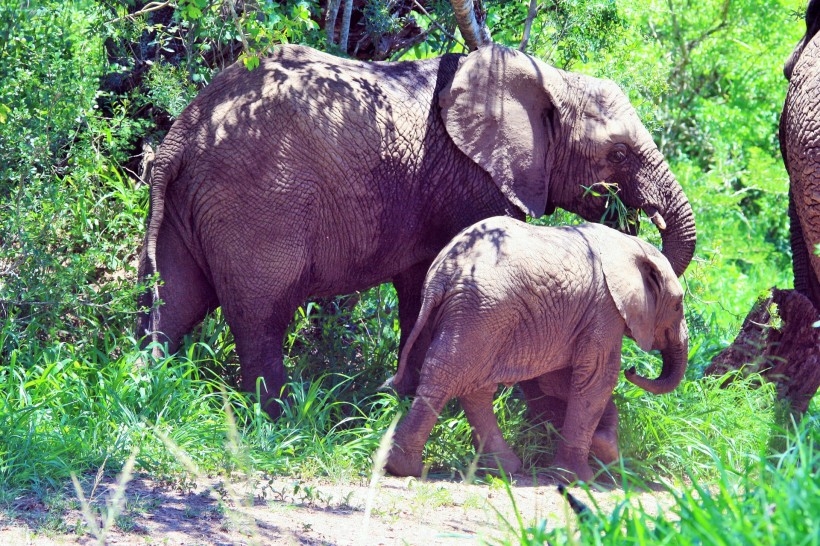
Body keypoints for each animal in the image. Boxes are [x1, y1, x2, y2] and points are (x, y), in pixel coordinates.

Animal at [138, 42, 696, 414]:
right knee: (262, 312)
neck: (551, 79)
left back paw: (145, 385)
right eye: (617, 153)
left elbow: (419, 284)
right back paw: (282, 414)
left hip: (191, 205)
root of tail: (181, 136)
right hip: (257, 203)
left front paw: (399, 398)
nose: (636, 216)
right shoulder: (473, 179)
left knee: (174, 299)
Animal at [384, 217, 684, 480]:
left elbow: (559, 381)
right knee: (449, 373)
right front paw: (579, 477)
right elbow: (597, 379)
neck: (631, 246)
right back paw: (406, 468)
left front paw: (605, 449)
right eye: (678, 305)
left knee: (471, 383)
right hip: (482, 310)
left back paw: (500, 468)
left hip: (472, 313)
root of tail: (441, 276)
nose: (633, 371)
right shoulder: (605, 308)